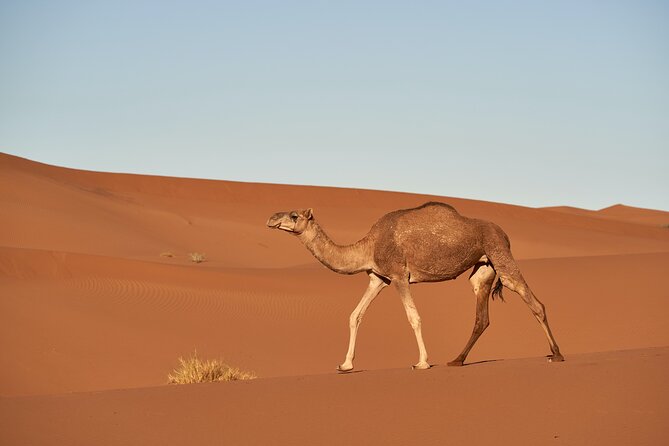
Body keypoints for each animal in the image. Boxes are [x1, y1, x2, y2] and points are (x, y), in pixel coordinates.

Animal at [266, 201, 564, 371]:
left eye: (294, 215)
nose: (271, 219)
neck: (368, 247)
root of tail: (505, 233)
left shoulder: (399, 275)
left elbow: (413, 317)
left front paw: (422, 362)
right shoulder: (379, 278)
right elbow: (355, 315)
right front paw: (346, 364)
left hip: (499, 253)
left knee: (533, 300)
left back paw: (557, 354)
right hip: (483, 266)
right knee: (482, 315)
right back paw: (457, 360)